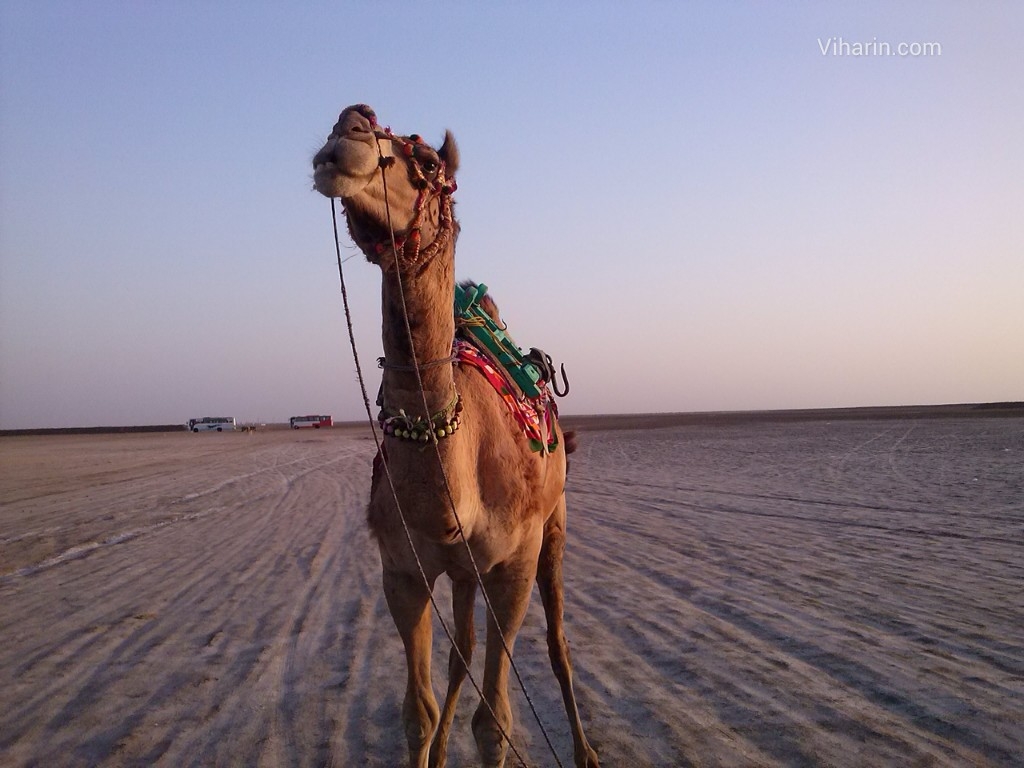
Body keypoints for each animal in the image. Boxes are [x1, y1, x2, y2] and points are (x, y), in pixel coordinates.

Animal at [313, 103, 598, 768]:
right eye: (340, 128)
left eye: (425, 160)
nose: (349, 128)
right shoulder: (402, 569)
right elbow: (414, 714)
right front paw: (431, 743)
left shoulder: (514, 563)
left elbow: (494, 723)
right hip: (466, 571)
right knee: (460, 649)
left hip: (554, 525)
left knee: (558, 646)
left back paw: (585, 752)